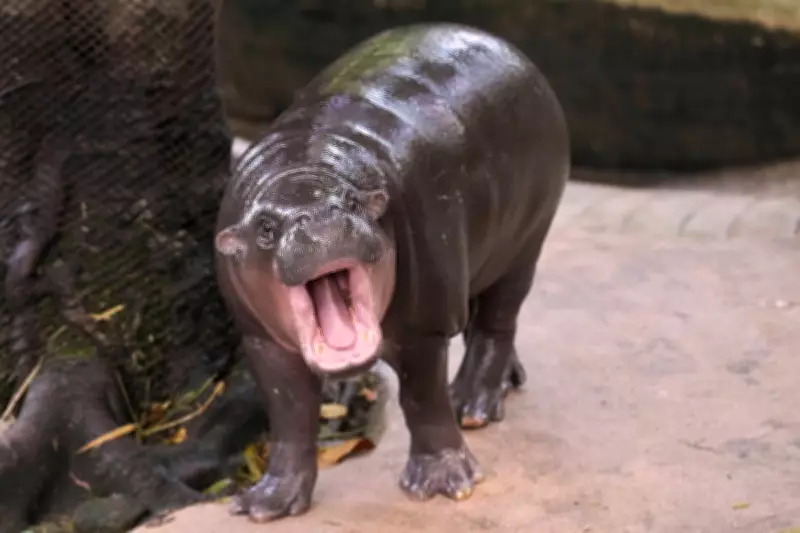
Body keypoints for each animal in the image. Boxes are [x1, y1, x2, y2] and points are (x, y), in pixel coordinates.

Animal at [214, 22, 570, 522]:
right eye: (265, 227)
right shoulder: (262, 341)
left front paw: (443, 483)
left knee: (498, 321)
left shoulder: (425, 327)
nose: (320, 219)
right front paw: (266, 503)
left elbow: (422, 399)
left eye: (353, 201)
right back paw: (506, 384)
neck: (304, 166)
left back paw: (473, 405)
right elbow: (289, 415)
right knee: (482, 314)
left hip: (526, 239)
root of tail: (504, 45)